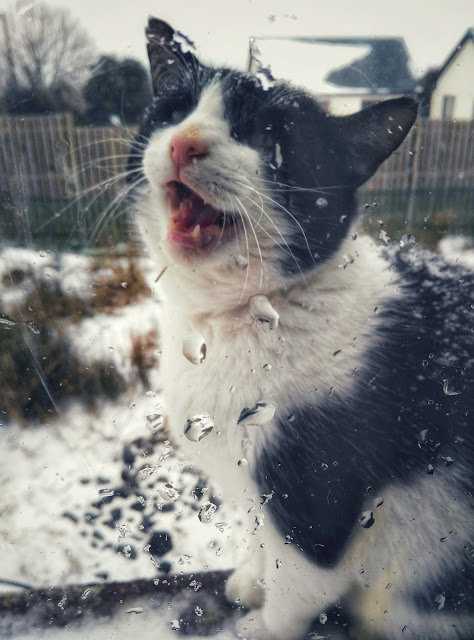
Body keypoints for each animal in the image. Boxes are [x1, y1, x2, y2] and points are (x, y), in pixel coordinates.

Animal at [127, 16, 474, 640]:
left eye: (271, 142)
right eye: (175, 111)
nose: (185, 141)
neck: (243, 319)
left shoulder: (314, 492)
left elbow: (302, 580)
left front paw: (262, 625)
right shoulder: (255, 493)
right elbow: (263, 544)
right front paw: (250, 580)